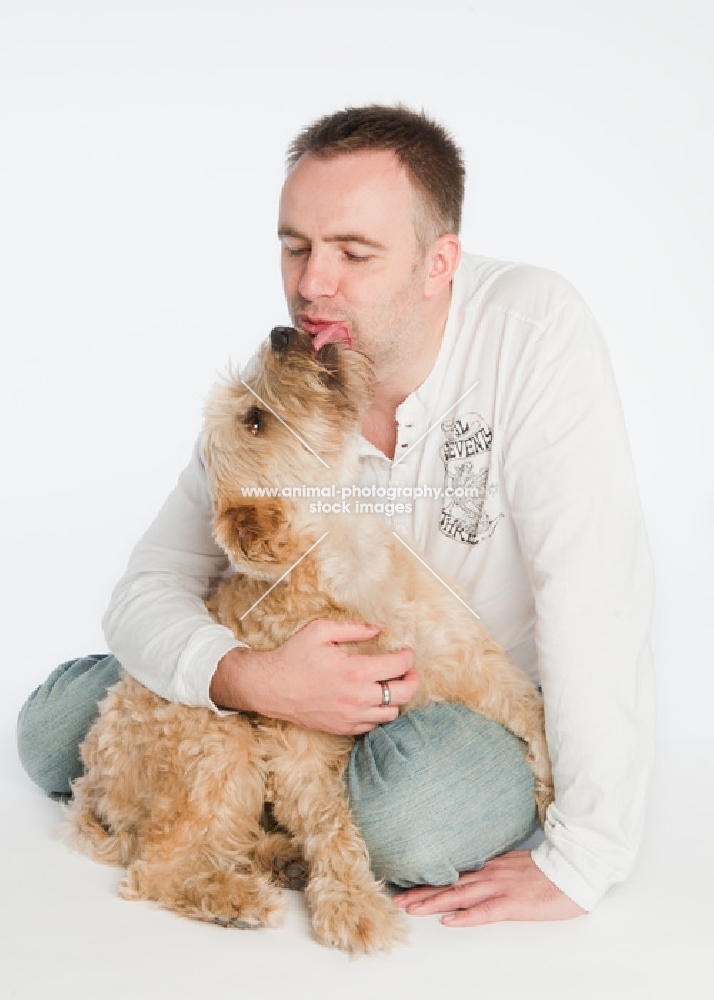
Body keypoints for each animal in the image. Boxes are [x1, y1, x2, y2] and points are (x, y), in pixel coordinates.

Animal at [67, 326, 552, 952]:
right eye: (254, 420)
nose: (281, 333)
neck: (345, 561)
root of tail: (92, 782)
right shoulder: (296, 747)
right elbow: (330, 824)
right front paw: (352, 902)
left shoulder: (479, 666)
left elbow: (539, 721)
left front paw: (557, 812)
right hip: (223, 745)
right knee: (158, 865)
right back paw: (237, 898)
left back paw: (277, 858)